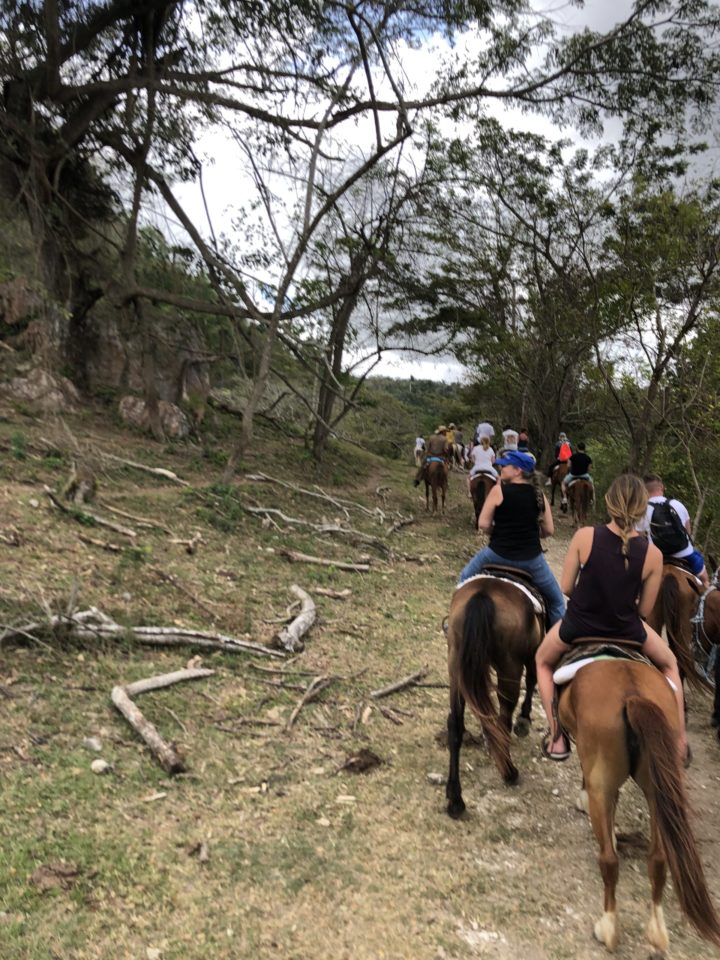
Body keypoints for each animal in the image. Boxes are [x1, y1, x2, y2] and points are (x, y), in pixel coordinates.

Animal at [445, 573, 544, 816]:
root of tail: (483, 594)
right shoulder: (533, 654)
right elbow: (532, 680)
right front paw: (524, 720)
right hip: (510, 667)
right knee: (504, 717)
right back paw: (509, 771)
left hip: (456, 665)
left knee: (455, 724)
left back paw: (455, 798)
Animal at [558, 658, 720, 953]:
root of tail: (632, 696)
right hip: (657, 789)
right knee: (658, 858)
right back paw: (657, 931)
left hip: (603, 779)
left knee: (609, 860)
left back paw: (608, 928)